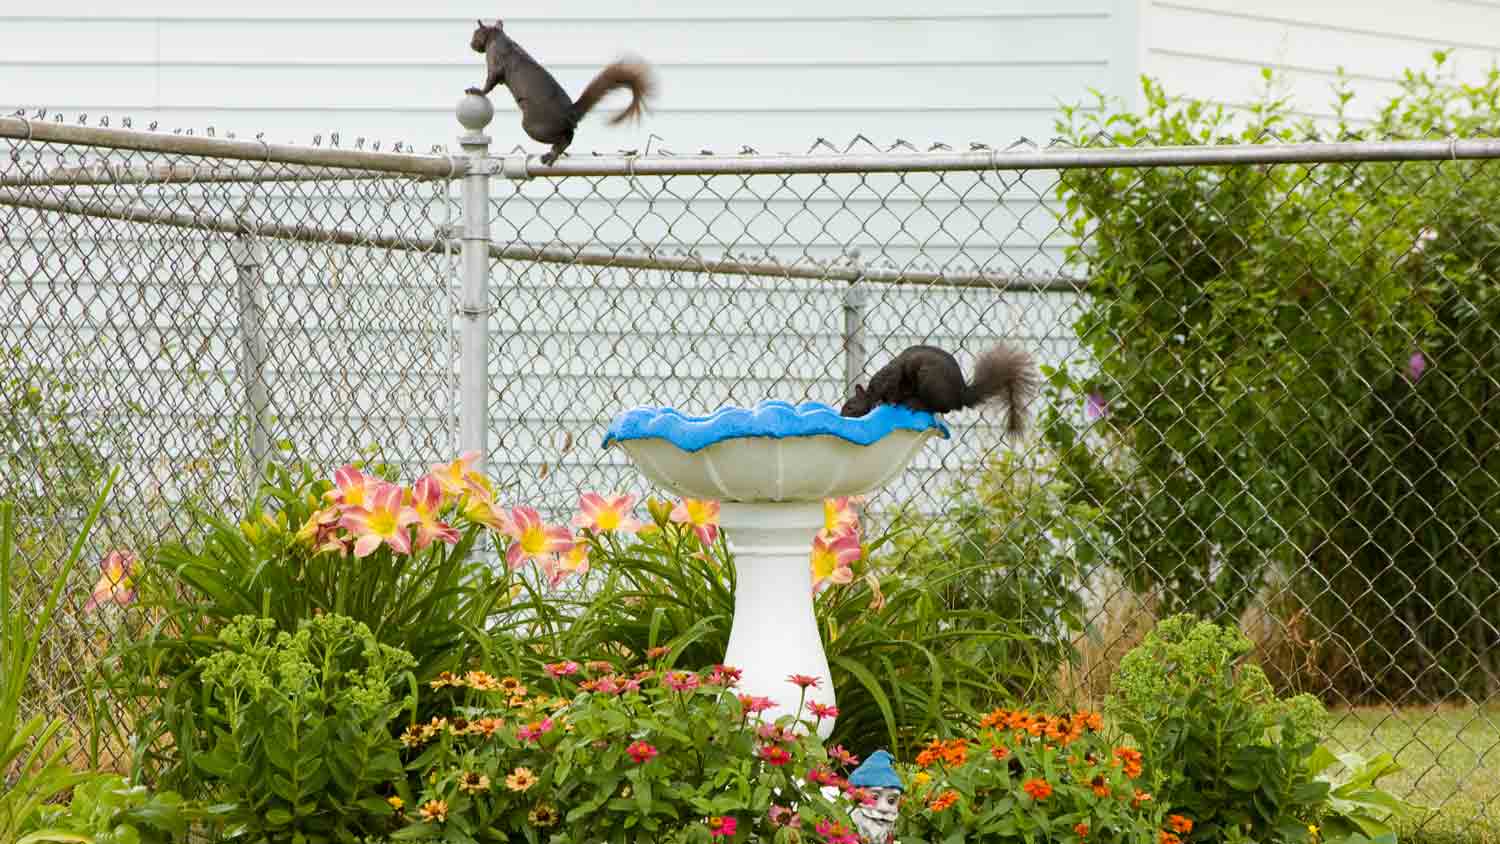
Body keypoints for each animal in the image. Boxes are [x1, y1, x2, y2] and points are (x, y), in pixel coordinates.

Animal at [465, 18, 654, 164]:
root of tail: (571, 114)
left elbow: (489, 83)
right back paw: (552, 153)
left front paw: (475, 90)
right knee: (569, 135)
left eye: (475, 34)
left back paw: (552, 155)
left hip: (535, 126)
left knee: (565, 138)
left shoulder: (496, 62)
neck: (498, 39)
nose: (471, 44)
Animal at [846, 343, 1044, 434]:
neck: (872, 392)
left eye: (850, 406)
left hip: (929, 381)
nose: (842, 414)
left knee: (943, 408)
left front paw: (882, 403)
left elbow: (890, 392)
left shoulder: (891, 380)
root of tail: (960, 395)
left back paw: (916, 404)